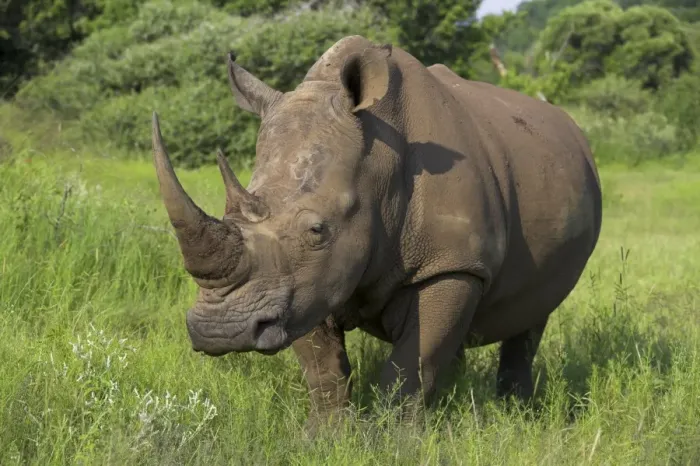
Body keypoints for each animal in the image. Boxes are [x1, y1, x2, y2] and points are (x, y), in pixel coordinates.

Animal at [150, 35, 602, 427]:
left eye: (318, 229)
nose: (220, 331)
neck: (378, 167)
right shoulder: (302, 283)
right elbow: (322, 365)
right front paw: (326, 437)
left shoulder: (449, 264)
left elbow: (412, 363)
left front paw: (394, 439)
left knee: (533, 313)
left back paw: (516, 412)